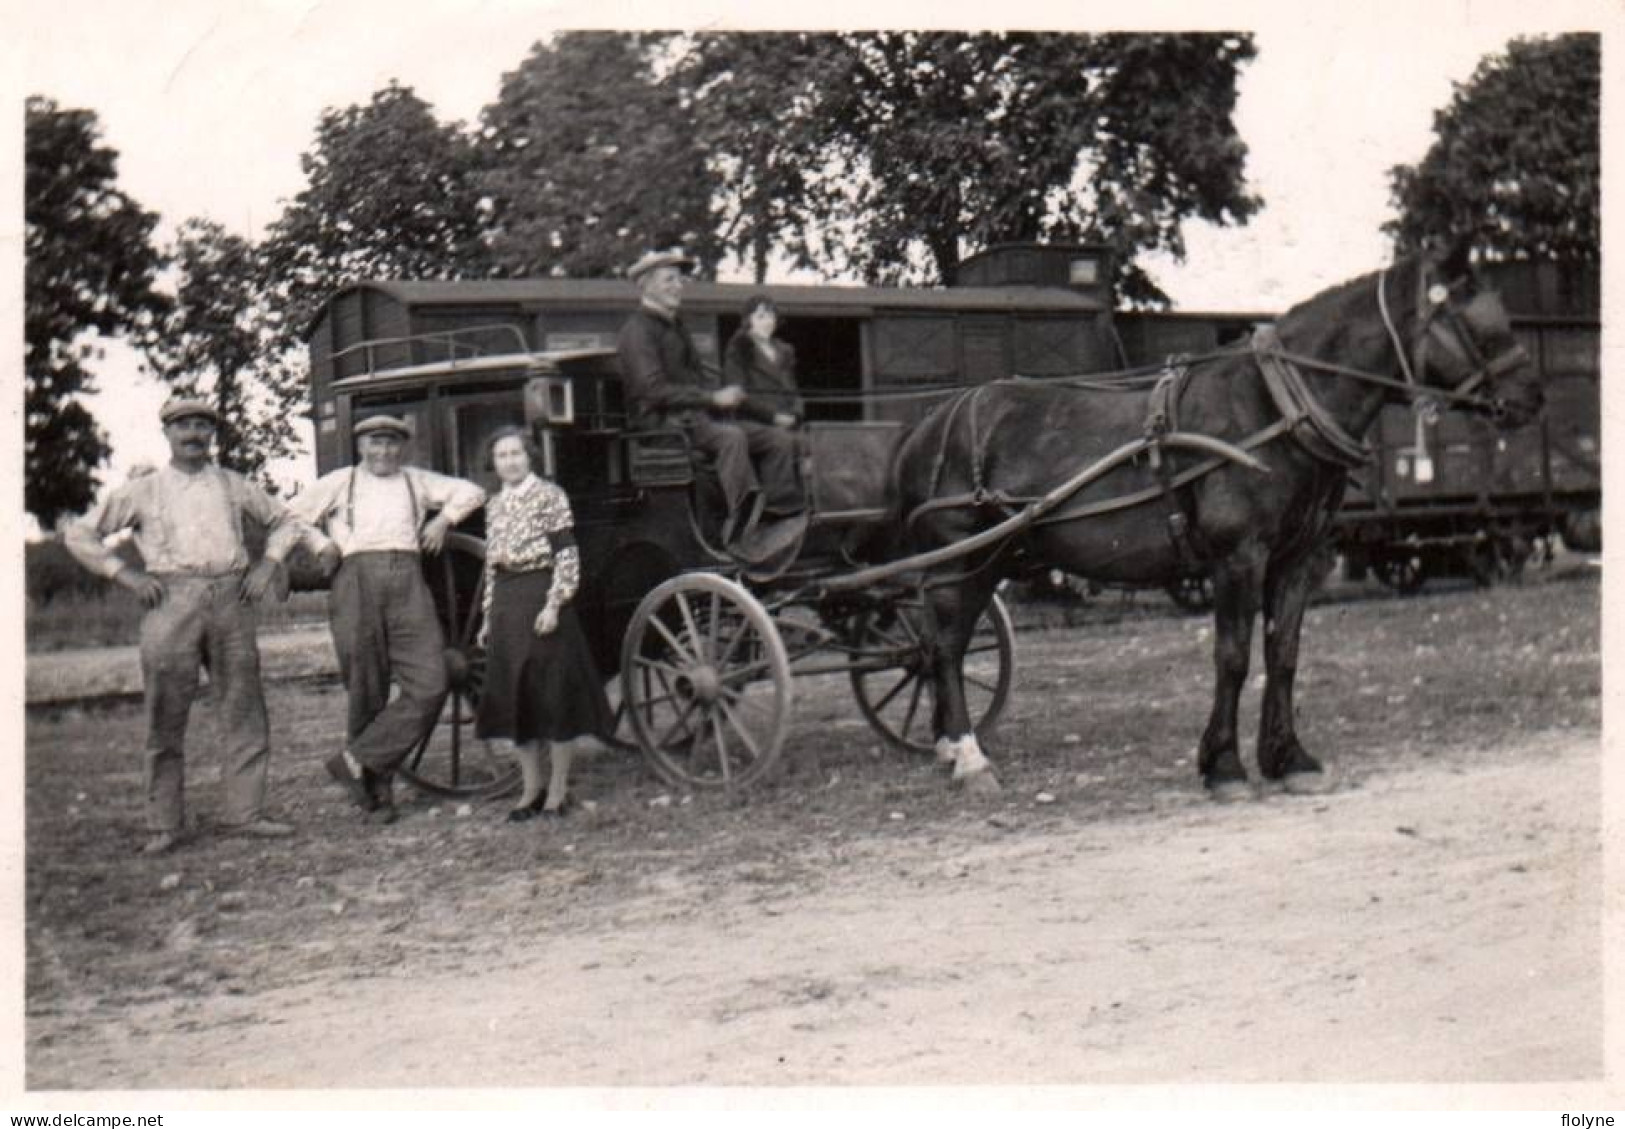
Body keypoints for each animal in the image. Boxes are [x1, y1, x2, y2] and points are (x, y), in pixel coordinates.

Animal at [897, 243, 1540, 799]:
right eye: (1474, 319)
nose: (1528, 401)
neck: (1273, 408)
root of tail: (929, 423)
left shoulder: (1299, 558)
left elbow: (1284, 654)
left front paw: (1289, 759)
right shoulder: (1239, 557)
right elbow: (1233, 657)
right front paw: (1224, 766)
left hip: (986, 562)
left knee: (944, 645)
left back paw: (949, 748)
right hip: (961, 559)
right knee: (945, 648)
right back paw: (970, 758)